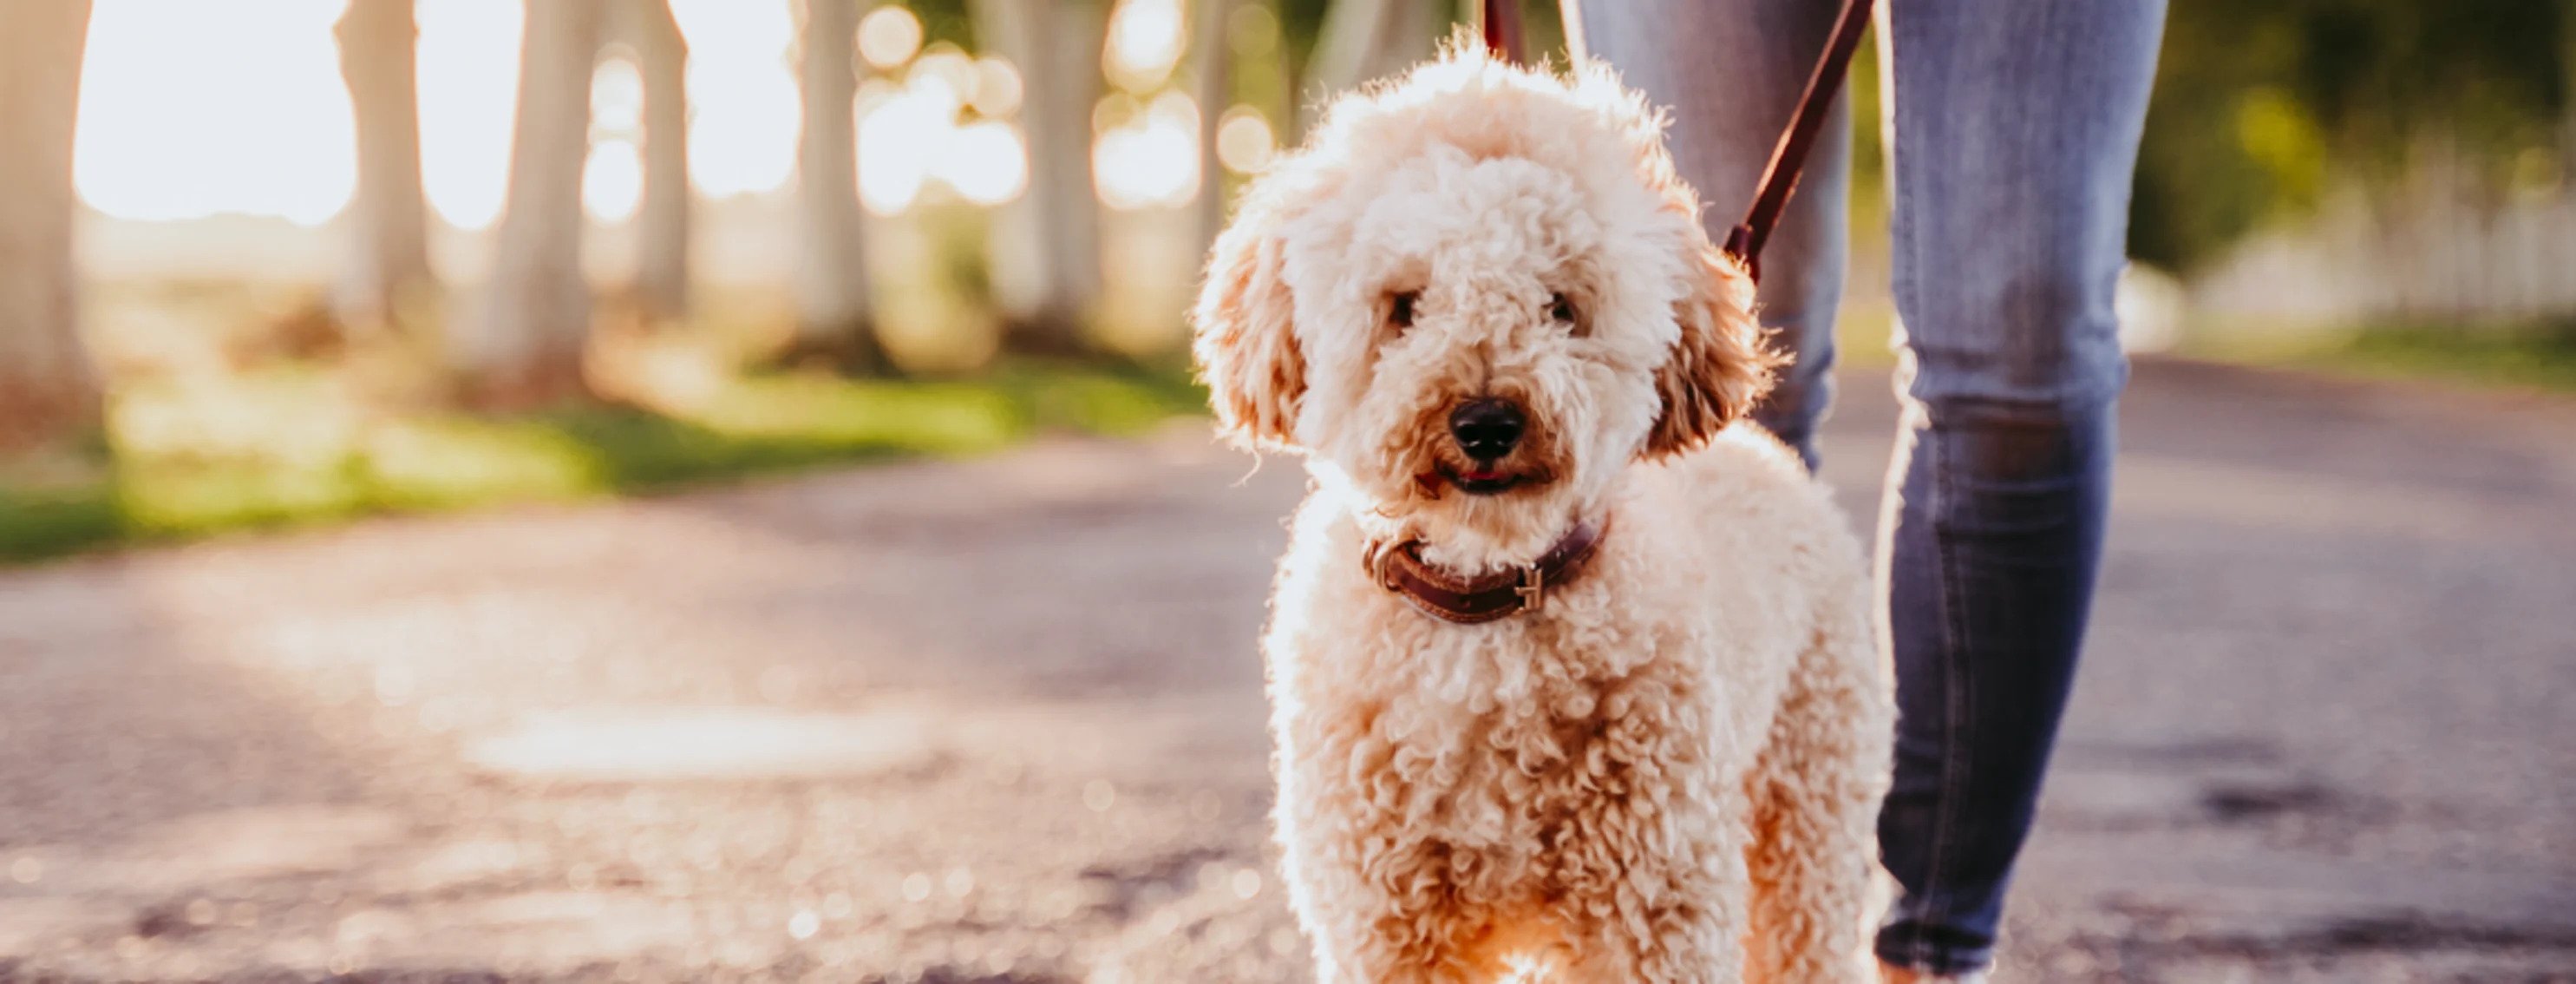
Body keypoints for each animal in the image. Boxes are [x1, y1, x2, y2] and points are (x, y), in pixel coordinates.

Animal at [1195, 42, 1906, 979]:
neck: (1485, 604)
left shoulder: (1658, 906)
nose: (1486, 421)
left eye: (1560, 306)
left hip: (1810, 804)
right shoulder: (1383, 919)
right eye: (1404, 307)